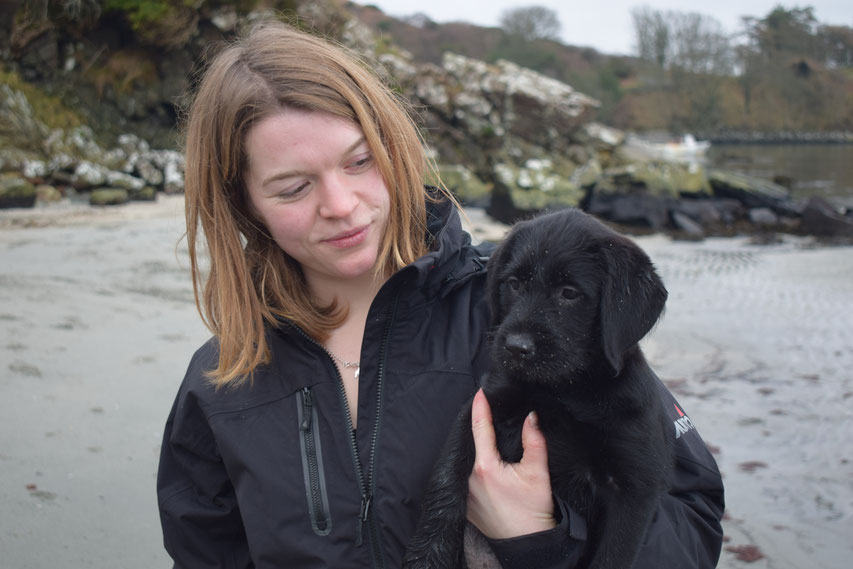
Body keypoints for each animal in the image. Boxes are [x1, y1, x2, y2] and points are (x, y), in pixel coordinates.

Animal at [404, 209, 672, 568]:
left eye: (569, 293)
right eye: (514, 284)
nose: (516, 347)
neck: (566, 391)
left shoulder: (634, 488)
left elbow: (612, 555)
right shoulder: (482, 408)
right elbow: (446, 479)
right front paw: (426, 556)